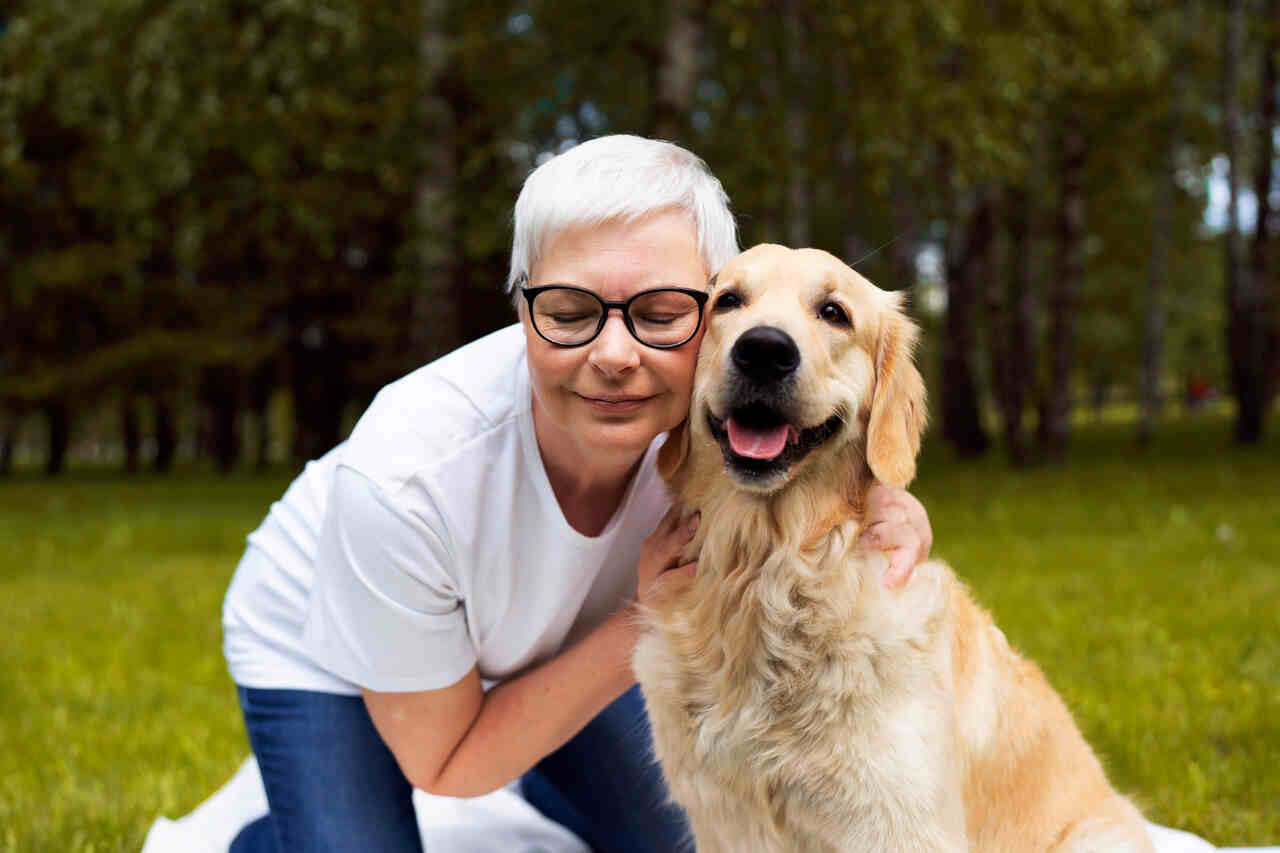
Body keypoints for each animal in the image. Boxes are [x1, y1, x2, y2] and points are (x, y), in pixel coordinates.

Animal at [629, 242, 1152, 845]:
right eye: (728, 301)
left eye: (834, 313)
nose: (763, 350)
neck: (770, 573)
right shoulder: (725, 821)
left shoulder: (899, 822)